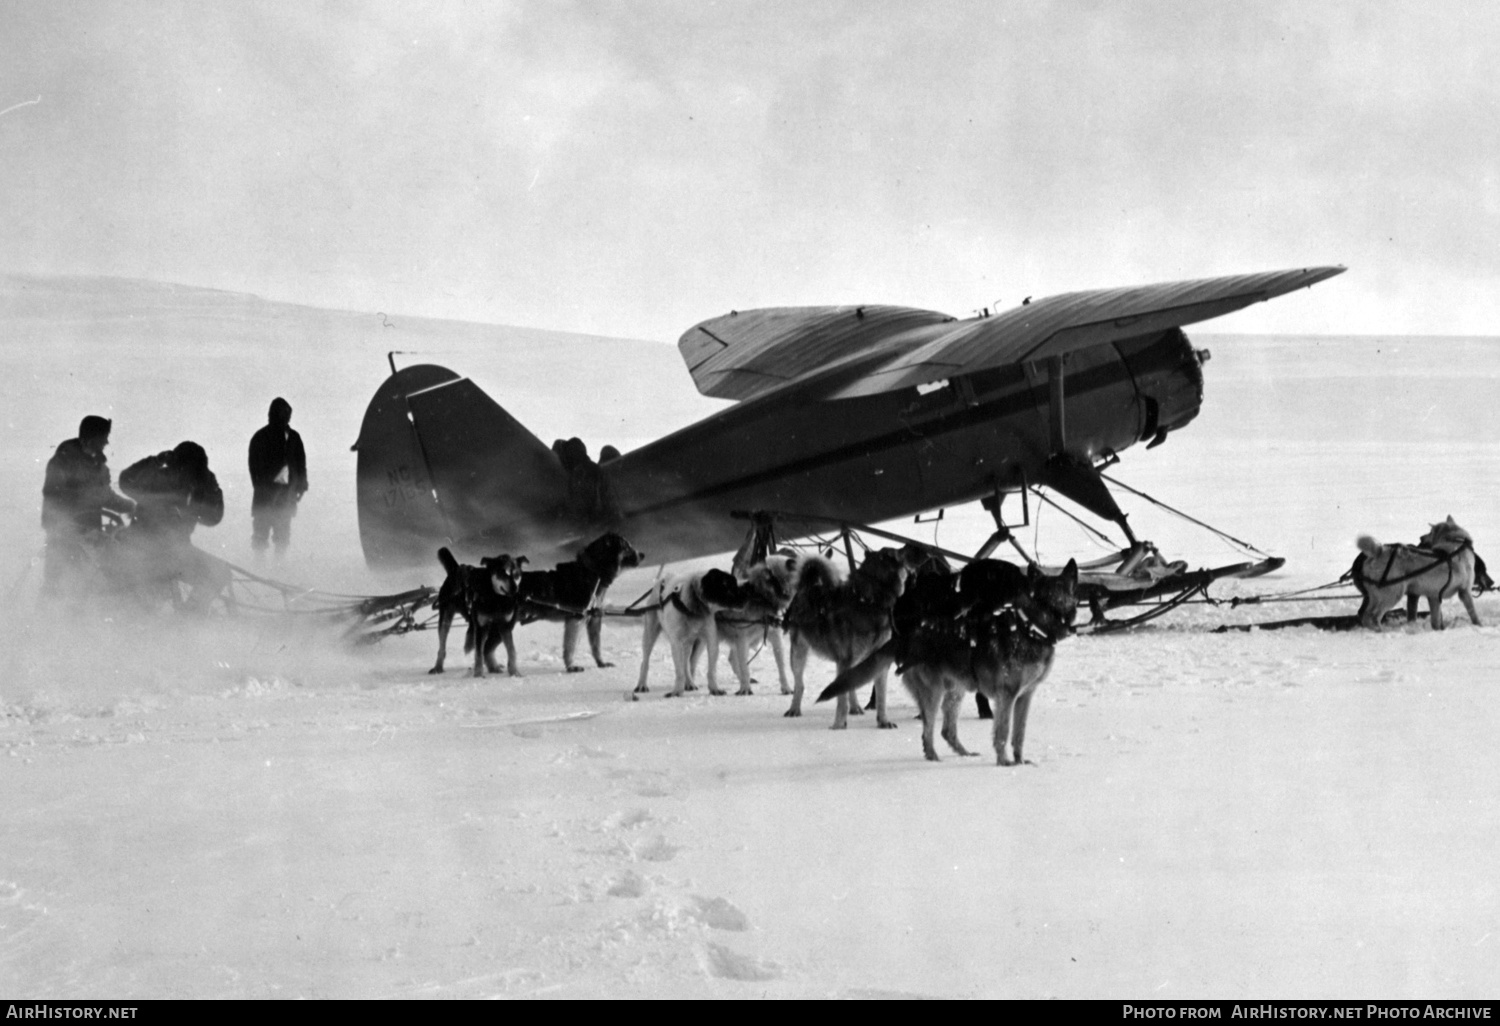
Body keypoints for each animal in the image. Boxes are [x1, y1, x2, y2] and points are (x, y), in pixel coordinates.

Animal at [429, 549, 528, 678]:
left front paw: (514, 672)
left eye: (516, 574)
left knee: (487, 648)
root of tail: (456, 569)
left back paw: (494, 667)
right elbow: (478, 653)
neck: (496, 599)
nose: (515, 588)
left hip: (494, 629)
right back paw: (438, 667)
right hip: (445, 620)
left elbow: (511, 650)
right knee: (442, 647)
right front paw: (478, 675)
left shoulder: (505, 626)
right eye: (503, 573)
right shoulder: (481, 627)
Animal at [519, 534, 642, 669]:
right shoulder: (577, 618)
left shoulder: (594, 618)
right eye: (627, 547)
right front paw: (571, 666)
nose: (643, 554)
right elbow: (571, 646)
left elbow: (596, 646)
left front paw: (601, 663)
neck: (594, 572)